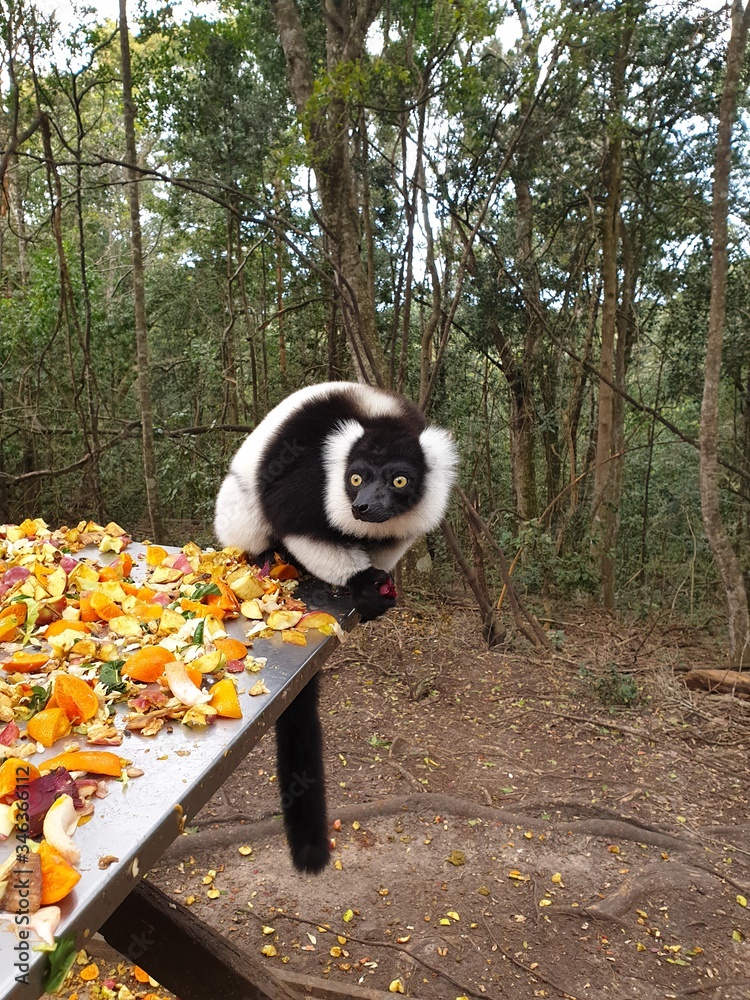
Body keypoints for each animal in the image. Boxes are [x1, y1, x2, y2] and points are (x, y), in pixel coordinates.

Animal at [214, 381, 458, 872]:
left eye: (399, 481)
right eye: (356, 479)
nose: (362, 507)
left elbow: (391, 539)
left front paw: (375, 587)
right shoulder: (307, 468)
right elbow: (298, 521)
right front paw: (360, 582)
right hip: (238, 514)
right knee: (252, 509)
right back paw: (269, 555)